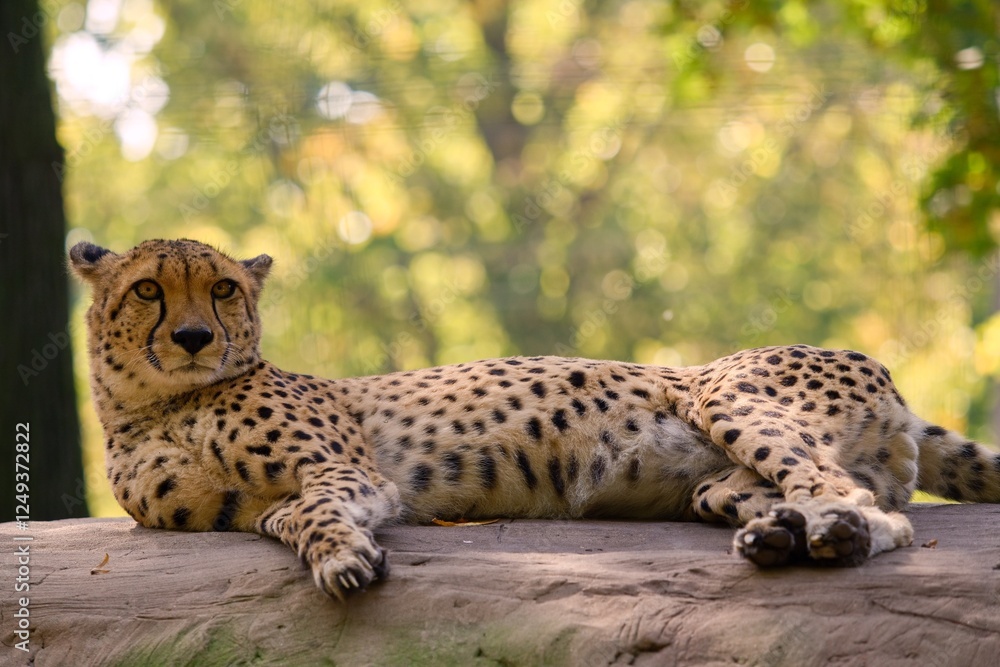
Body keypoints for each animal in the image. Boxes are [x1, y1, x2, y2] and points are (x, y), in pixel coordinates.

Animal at [69, 238, 1000, 600]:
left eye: (224, 287)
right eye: (149, 288)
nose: (194, 337)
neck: (161, 403)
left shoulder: (347, 469)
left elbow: (324, 508)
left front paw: (342, 558)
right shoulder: (251, 506)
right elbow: (291, 517)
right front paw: (336, 552)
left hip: (723, 395)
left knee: (858, 499)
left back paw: (823, 534)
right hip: (717, 483)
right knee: (855, 503)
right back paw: (788, 536)